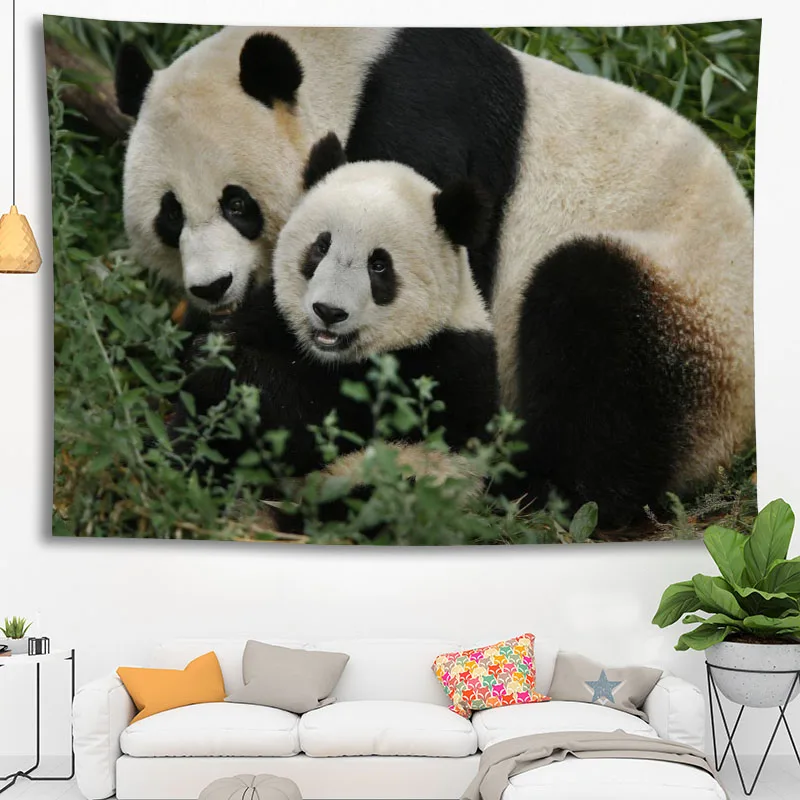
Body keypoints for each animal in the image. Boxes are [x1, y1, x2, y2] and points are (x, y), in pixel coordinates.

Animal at [175, 131, 499, 488]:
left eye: (379, 265)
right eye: (321, 246)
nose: (329, 311)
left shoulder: (436, 367)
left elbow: (312, 420)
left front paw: (226, 368)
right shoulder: (273, 316)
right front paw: (209, 353)